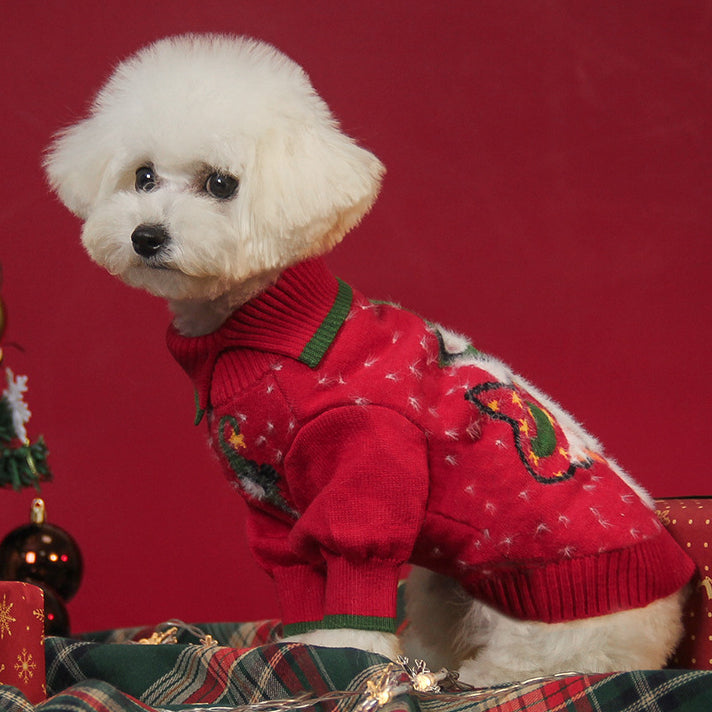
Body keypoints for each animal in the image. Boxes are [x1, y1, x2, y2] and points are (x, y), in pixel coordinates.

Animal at [44, 33, 688, 684]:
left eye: (222, 184)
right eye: (143, 176)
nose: (146, 236)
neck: (265, 330)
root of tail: (670, 609)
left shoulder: (370, 461)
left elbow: (356, 569)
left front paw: (345, 654)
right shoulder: (271, 505)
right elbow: (297, 577)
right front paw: (301, 646)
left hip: (544, 608)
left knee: (548, 662)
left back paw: (482, 674)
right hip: (441, 585)